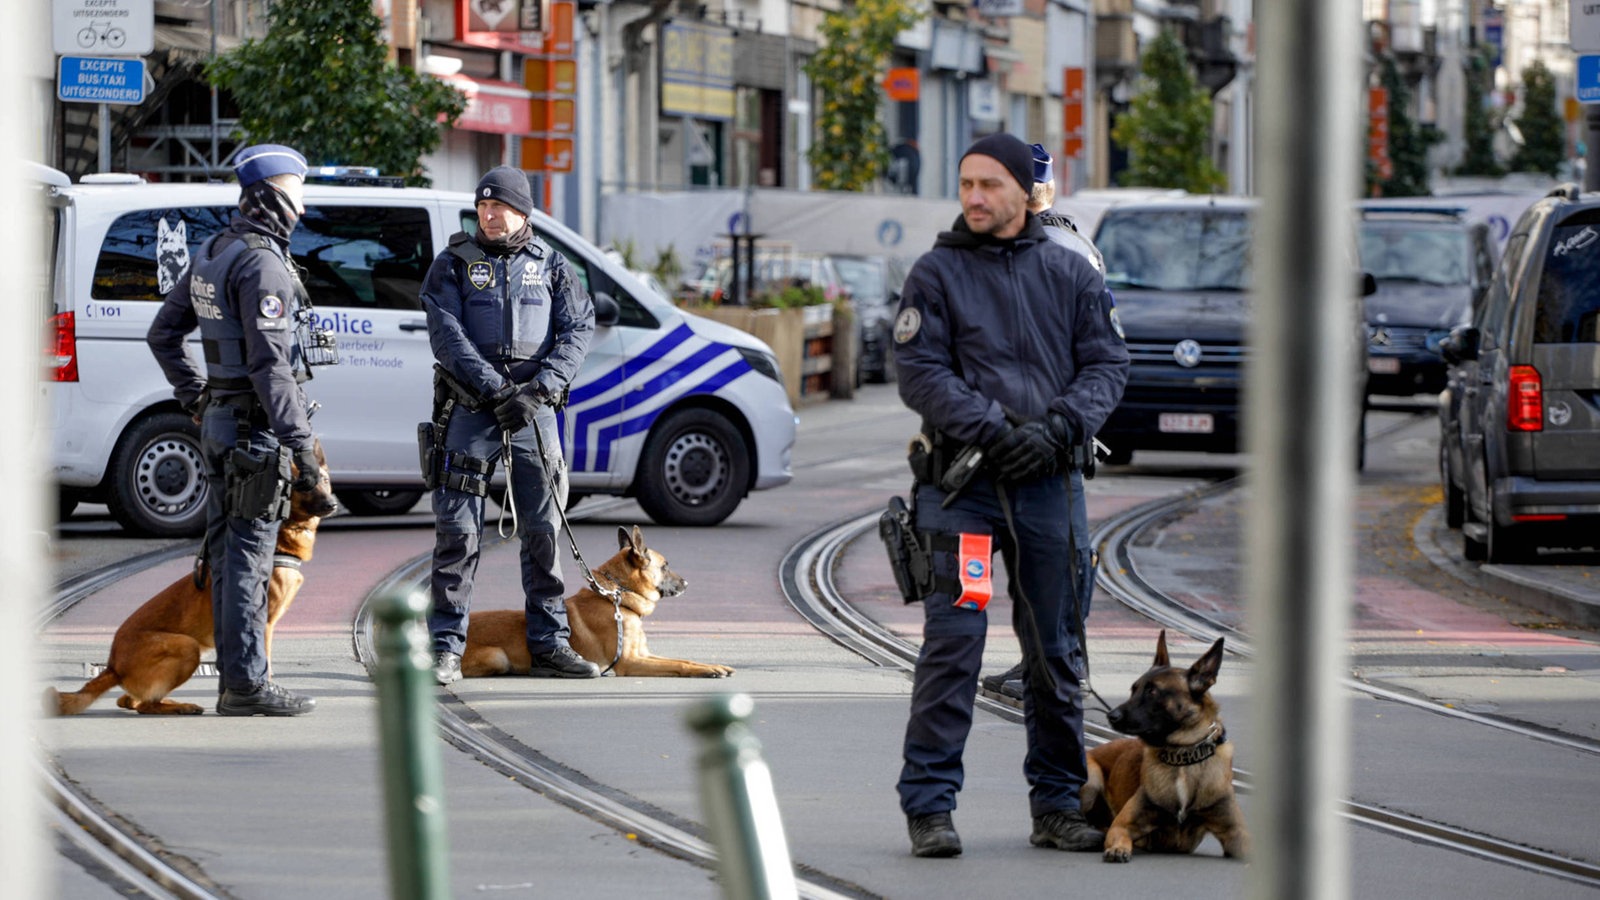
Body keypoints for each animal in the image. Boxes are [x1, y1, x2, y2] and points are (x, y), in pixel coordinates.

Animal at [46, 441, 337, 714]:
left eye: (324, 481)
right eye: (304, 486)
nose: (332, 504)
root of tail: (113, 665)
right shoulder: (263, 623)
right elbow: (264, 663)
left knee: (128, 700)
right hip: (187, 646)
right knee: (143, 705)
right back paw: (181, 706)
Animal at [464, 522, 736, 675]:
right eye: (666, 566)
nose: (687, 583)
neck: (618, 599)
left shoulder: (644, 655)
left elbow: (683, 659)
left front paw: (713, 667)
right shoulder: (630, 662)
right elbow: (678, 665)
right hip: (497, 657)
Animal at [1075, 627, 1248, 858]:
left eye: (1152, 691)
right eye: (1133, 689)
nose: (1112, 716)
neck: (1183, 756)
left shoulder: (1237, 834)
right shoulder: (1122, 825)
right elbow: (1120, 833)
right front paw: (1118, 849)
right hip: (1092, 777)